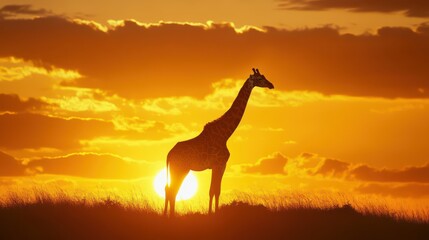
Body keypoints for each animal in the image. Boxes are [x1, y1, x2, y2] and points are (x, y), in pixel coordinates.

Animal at [164, 67, 274, 216]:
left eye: (264, 76)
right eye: (260, 78)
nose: (271, 85)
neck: (225, 134)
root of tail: (169, 155)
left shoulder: (217, 166)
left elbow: (214, 190)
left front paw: (212, 213)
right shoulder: (220, 164)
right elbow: (215, 191)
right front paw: (213, 214)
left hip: (178, 169)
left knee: (168, 189)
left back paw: (168, 215)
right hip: (180, 169)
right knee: (172, 190)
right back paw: (171, 216)